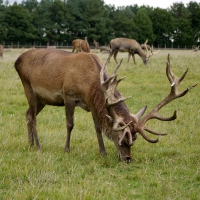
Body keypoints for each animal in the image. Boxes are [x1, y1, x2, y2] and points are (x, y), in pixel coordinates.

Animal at [14, 48, 198, 162]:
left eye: (135, 139)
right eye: (121, 138)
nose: (127, 159)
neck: (89, 85)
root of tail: (17, 60)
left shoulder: (91, 104)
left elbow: (97, 127)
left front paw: (103, 152)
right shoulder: (68, 96)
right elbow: (70, 124)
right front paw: (67, 149)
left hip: (42, 100)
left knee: (27, 114)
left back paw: (30, 144)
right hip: (28, 88)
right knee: (33, 117)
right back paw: (38, 146)